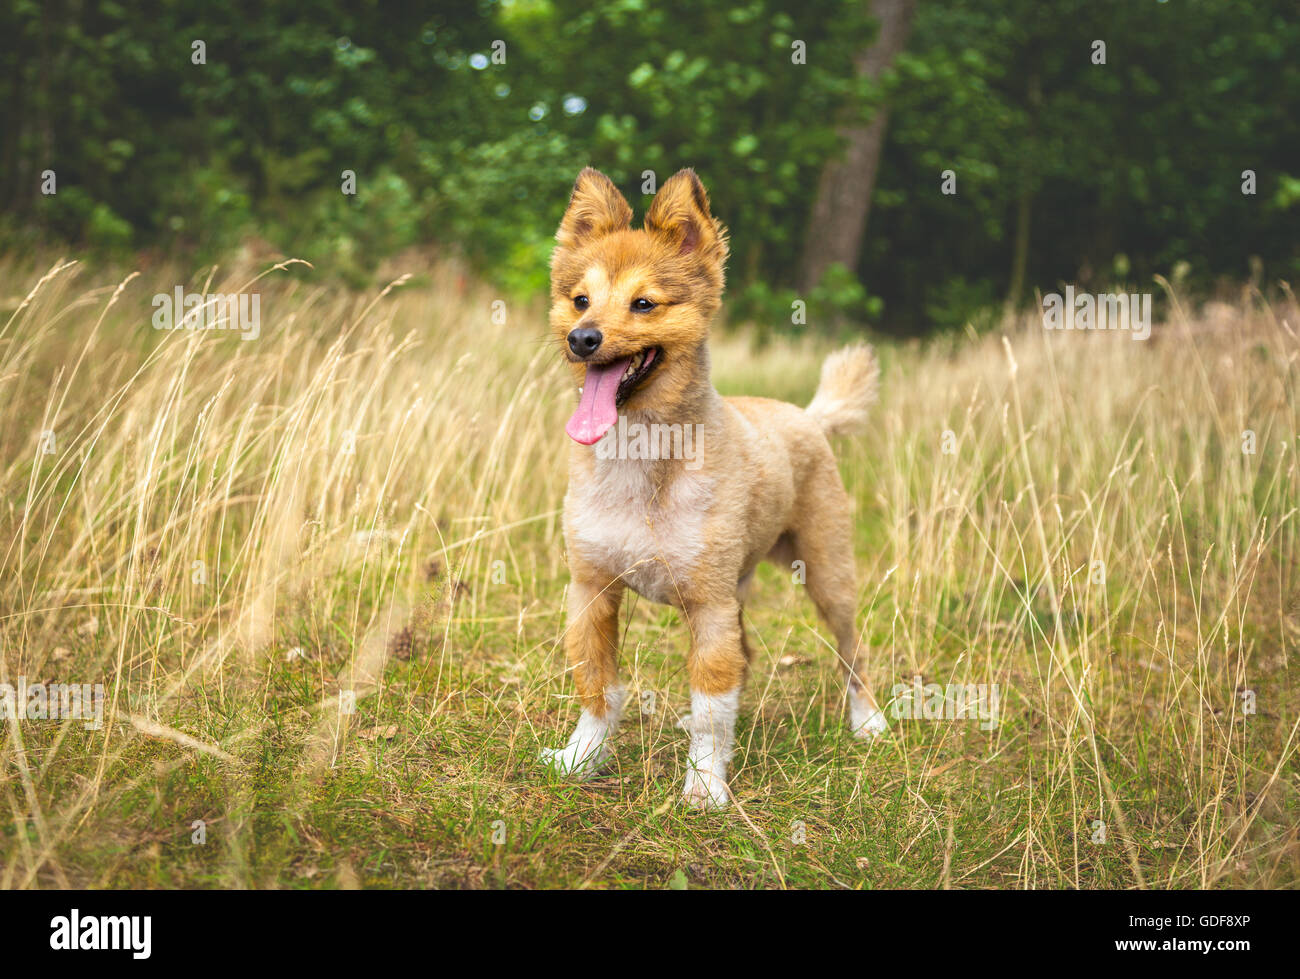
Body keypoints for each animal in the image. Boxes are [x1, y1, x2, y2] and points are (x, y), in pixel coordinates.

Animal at [535, 170, 883, 811]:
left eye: (643, 303)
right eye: (580, 299)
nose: (582, 338)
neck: (641, 461)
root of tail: (809, 417)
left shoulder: (709, 605)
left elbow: (712, 704)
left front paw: (704, 785)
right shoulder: (591, 591)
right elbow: (598, 688)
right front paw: (581, 758)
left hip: (829, 577)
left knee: (852, 653)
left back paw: (868, 721)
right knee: (744, 662)